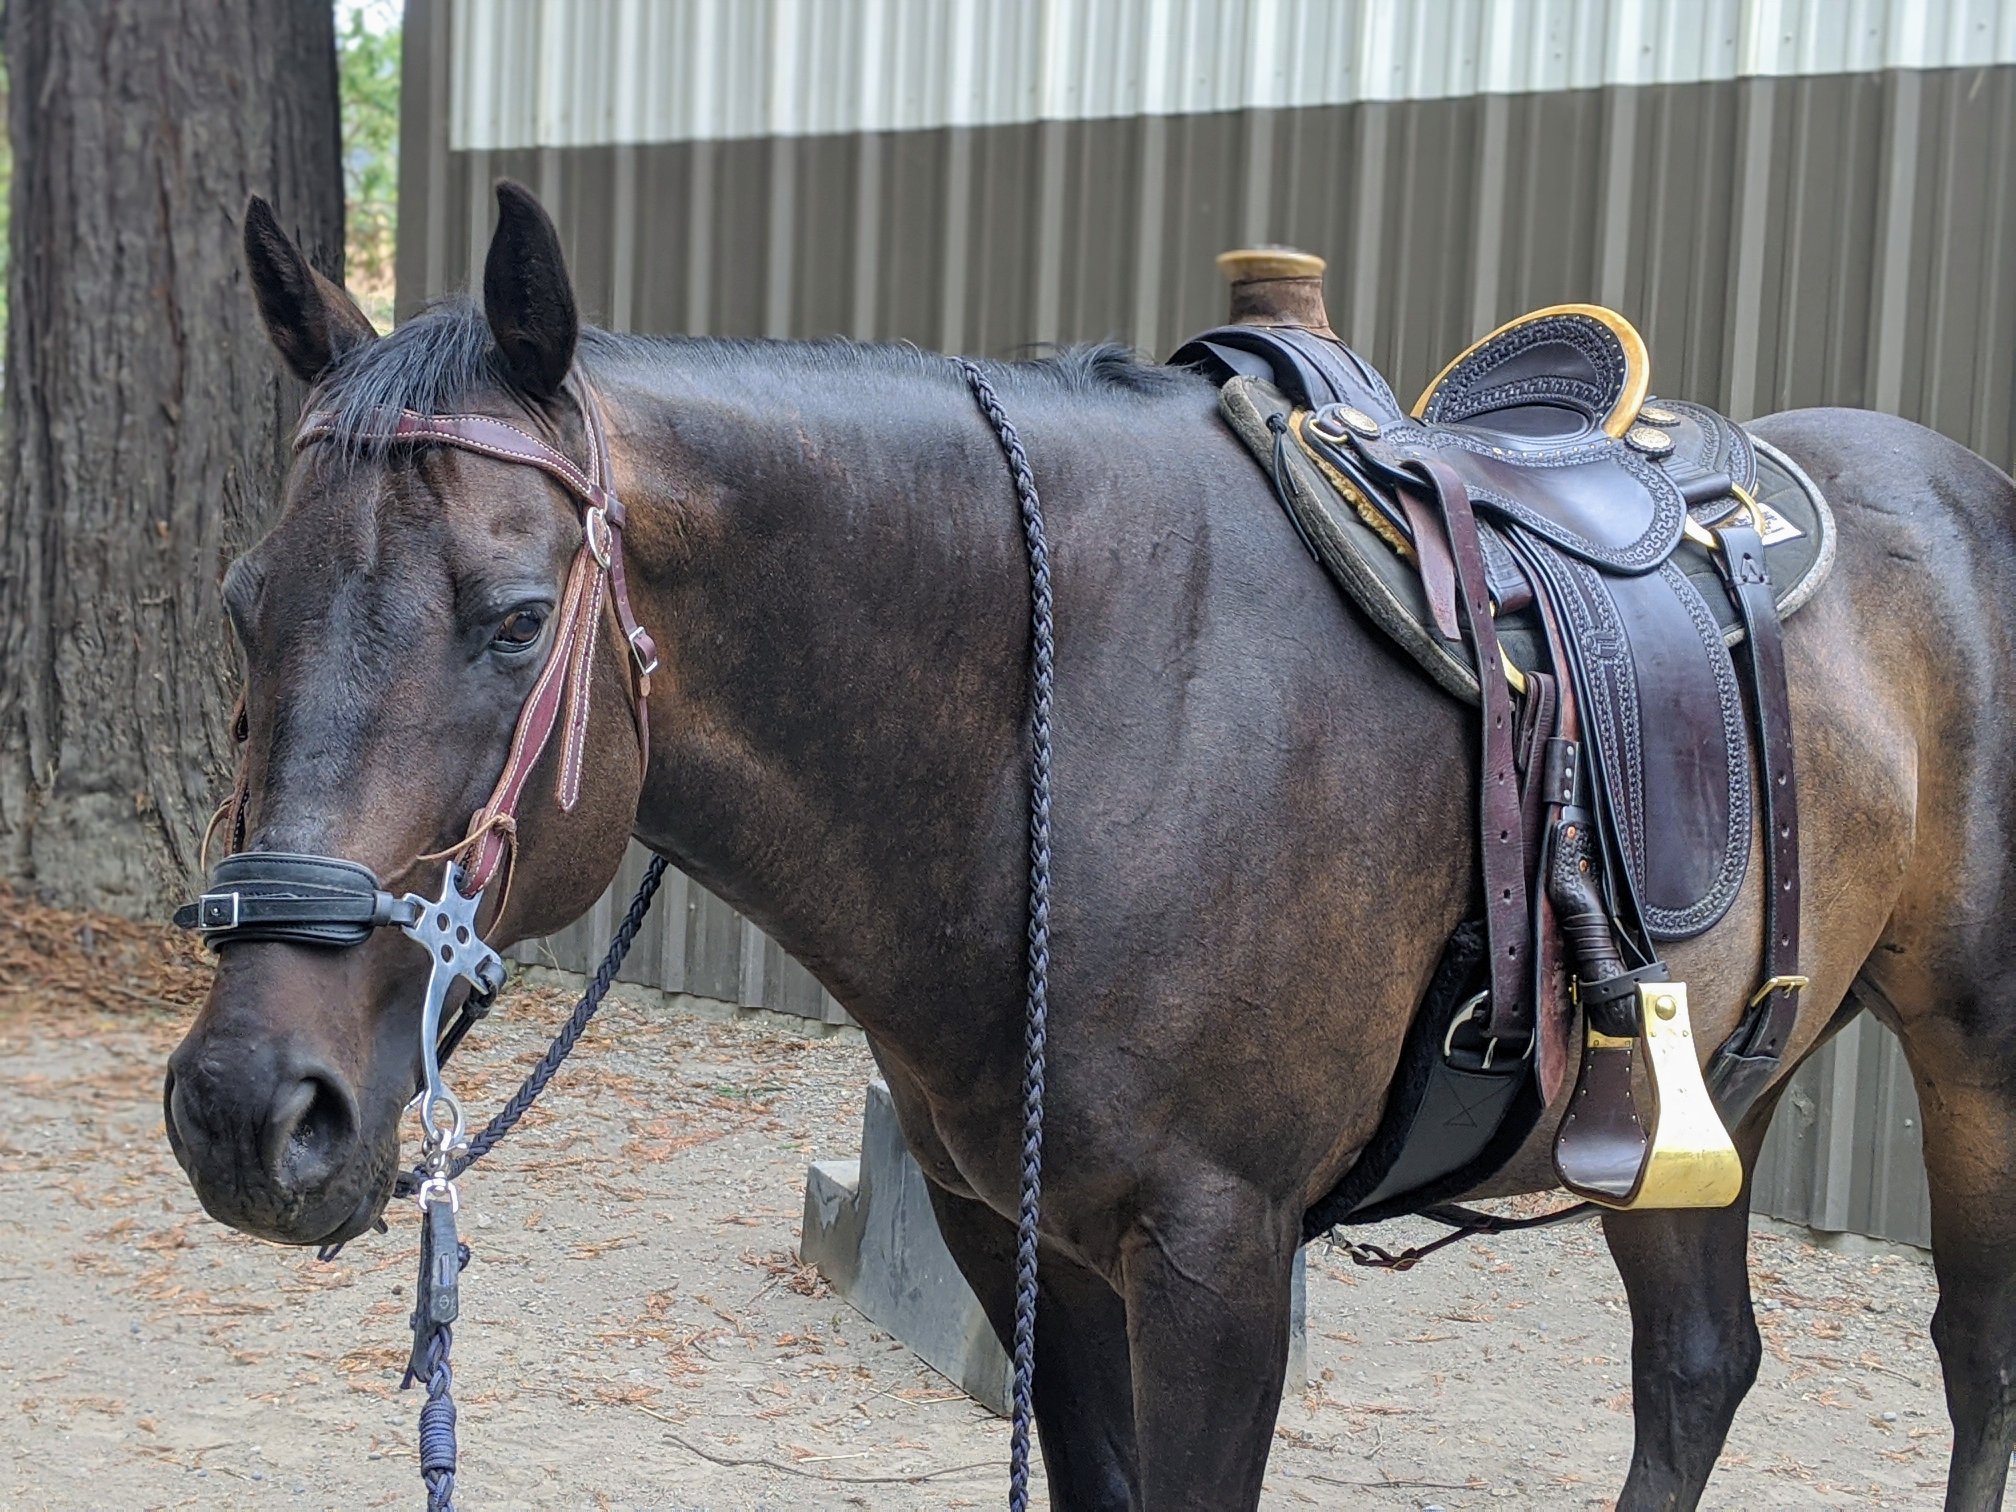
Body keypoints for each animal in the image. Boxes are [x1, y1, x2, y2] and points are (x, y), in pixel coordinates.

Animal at [165, 189, 2016, 1512]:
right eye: (244, 605)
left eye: (514, 620)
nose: (251, 1108)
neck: (1092, 725)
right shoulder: (1025, 1231)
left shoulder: (1220, 1258)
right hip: (1697, 1092)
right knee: (1698, 1371)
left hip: (1972, 1053)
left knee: (1972, 1355)